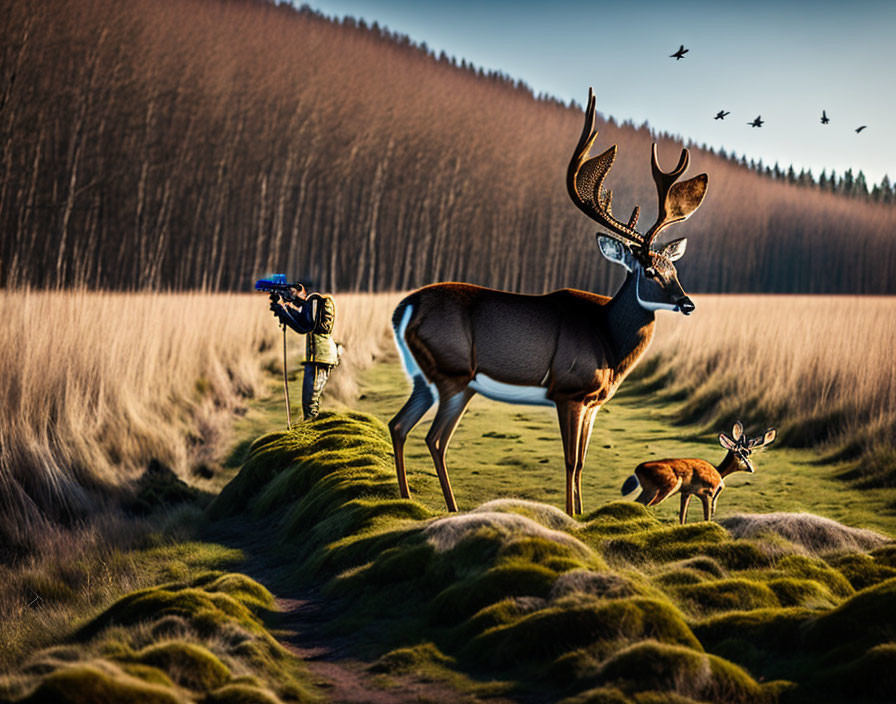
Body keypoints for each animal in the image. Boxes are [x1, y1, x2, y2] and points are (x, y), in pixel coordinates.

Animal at [388, 89, 712, 516]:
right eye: (647, 270)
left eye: (673, 268)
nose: (687, 304)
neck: (607, 343)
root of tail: (403, 309)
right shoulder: (567, 391)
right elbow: (571, 461)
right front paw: (571, 515)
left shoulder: (593, 402)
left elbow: (583, 463)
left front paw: (582, 513)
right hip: (453, 373)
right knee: (435, 438)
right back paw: (451, 507)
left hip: (425, 376)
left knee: (399, 425)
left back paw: (407, 498)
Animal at [624, 424, 776, 524]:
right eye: (743, 453)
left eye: (749, 452)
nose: (751, 468)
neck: (718, 472)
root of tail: (638, 470)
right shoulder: (707, 493)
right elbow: (707, 518)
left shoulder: (687, 493)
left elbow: (682, 517)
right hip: (661, 489)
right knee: (643, 504)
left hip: (650, 490)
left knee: (635, 502)